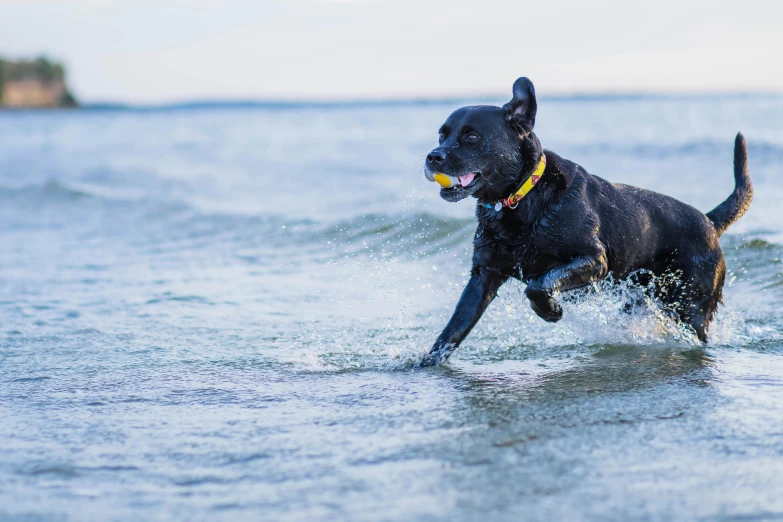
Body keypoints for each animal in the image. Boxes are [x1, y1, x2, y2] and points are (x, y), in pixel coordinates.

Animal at [422, 77, 752, 364]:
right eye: (442, 135)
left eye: (471, 136)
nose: (433, 156)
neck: (522, 199)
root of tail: (708, 223)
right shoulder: (484, 276)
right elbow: (452, 330)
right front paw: (425, 364)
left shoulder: (594, 260)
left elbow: (539, 284)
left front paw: (551, 311)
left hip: (690, 304)